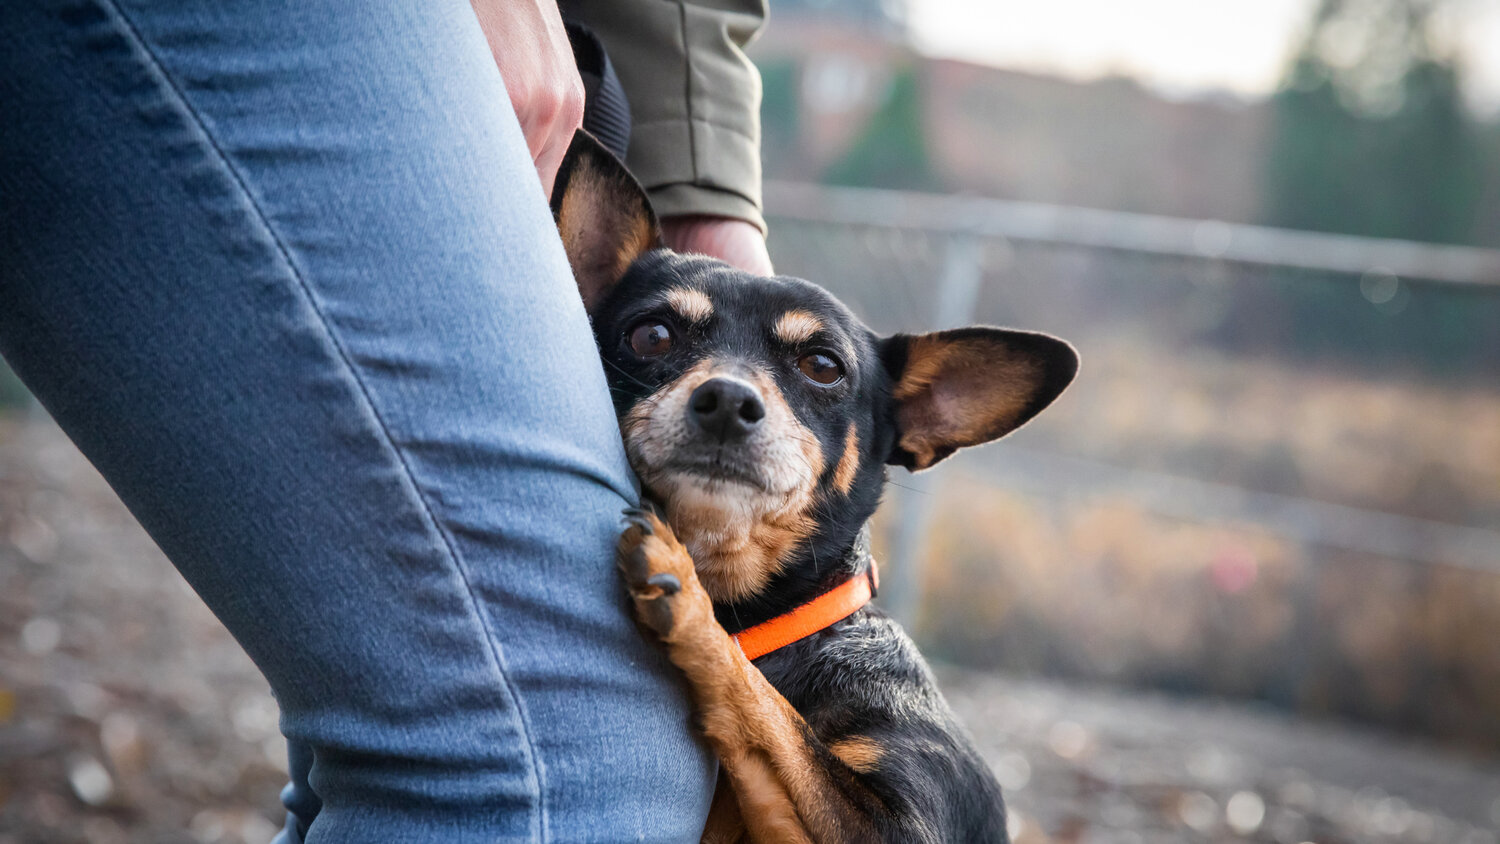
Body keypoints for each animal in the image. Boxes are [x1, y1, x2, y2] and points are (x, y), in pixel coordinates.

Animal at [552, 133, 1080, 844]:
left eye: (823, 366)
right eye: (651, 335)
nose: (727, 401)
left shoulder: (899, 828)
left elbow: (771, 711)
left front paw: (685, 598)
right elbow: (774, 712)